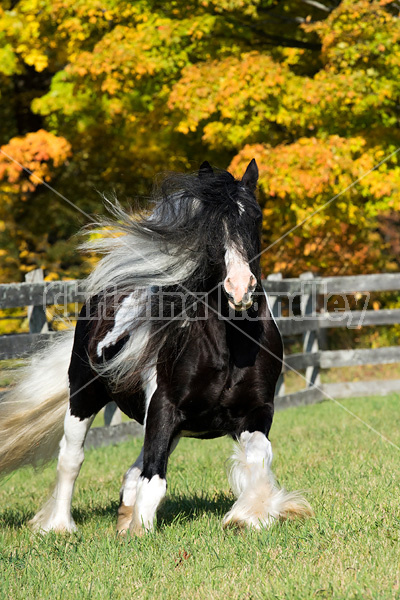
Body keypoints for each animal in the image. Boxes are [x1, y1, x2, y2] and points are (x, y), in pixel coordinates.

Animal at [0, 161, 312, 536]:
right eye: (207, 225)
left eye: (255, 217)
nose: (239, 288)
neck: (229, 348)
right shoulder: (165, 406)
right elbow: (154, 479)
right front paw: (141, 532)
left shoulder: (256, 411)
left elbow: (258, 455)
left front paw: (249, 515)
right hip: (84, 394)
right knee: (72, 458)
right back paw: (60, 526)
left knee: (132, 468)